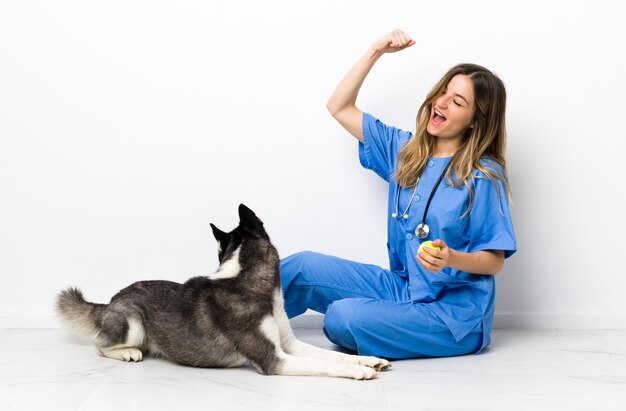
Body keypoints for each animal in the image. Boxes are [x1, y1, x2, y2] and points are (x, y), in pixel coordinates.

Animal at [58, 204, 390, 382]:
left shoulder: (289, 345)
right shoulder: (274, 359)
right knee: (100, 344)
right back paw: (127, 352)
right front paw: (359, 372)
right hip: (132, 321)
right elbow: (326, 364)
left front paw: (368, 360)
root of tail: (111, 299)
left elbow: (329, 355)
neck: (248, 281)